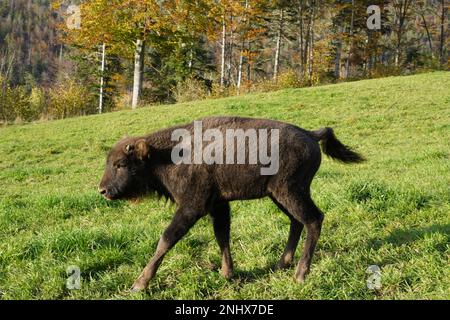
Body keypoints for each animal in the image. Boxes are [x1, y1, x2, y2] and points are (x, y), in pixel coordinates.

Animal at [99, 116, 366, 292]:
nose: (102, 190)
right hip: (279, 196)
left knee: (313, 219)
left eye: (121, 164)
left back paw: (299, 275)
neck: (166, 154)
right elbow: (222, 235)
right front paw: (227, 274)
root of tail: (311, 134)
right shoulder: (218, 205)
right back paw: (282, 264)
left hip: (291, 192)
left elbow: (166, 239)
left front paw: (139, 284)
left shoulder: (192, 207)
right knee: (296, 222)